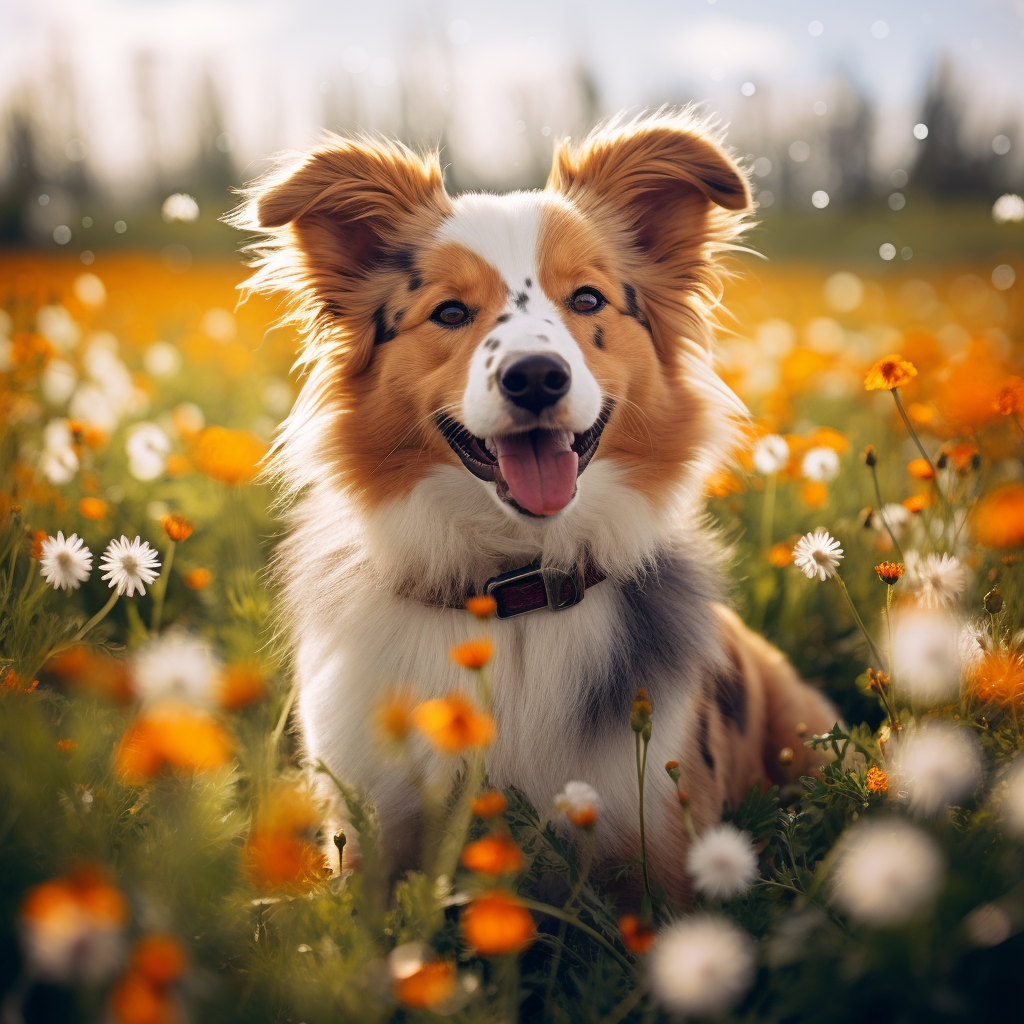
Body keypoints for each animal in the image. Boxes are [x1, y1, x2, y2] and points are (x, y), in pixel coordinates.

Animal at [234, 108, 839, 901]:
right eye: (449, 311)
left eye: (586, 299)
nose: (535, 376)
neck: (513, 591)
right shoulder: (368, 833)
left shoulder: (662, 837)